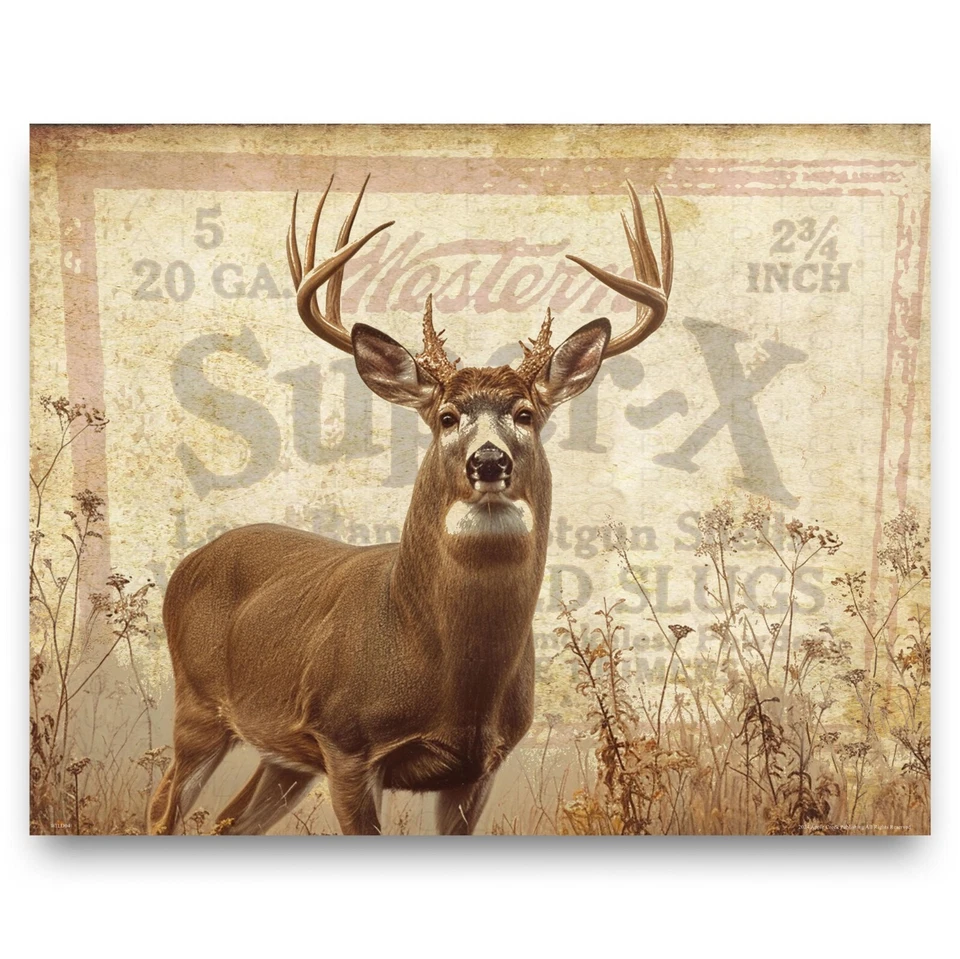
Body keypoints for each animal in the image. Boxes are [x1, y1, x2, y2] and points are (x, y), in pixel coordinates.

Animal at [148, 176, 672, 835]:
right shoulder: (345, 743)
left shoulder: (480, 767)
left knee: (230, 821)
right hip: (196, 705)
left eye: (526, 413)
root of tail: (192, 559)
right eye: (446, 417)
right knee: (161, 807)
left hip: (282, 755)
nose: (489, 461)